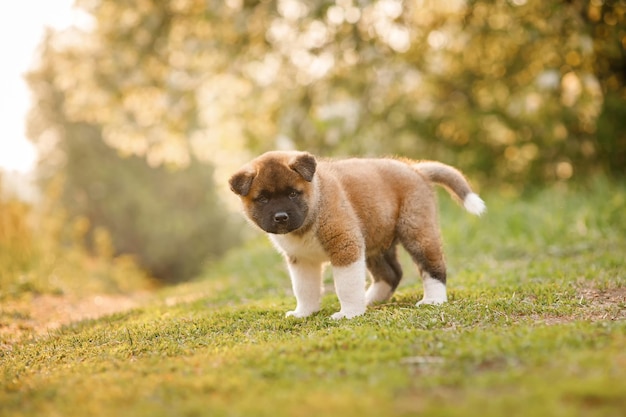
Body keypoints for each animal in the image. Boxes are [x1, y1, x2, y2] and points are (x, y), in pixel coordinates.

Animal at [228, 152, 482, 318]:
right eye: (263, 199)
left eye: (292, 194)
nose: (281, 217)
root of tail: (415, 169)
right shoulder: (302, 261)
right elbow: (304, 289)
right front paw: (304, 312)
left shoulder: (345, 246)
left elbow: (346, 285)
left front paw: (349, 313)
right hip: (375, 241)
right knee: (391, 274)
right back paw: (370, 300)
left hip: (417, 232)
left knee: (432, 266)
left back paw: (433, 299)